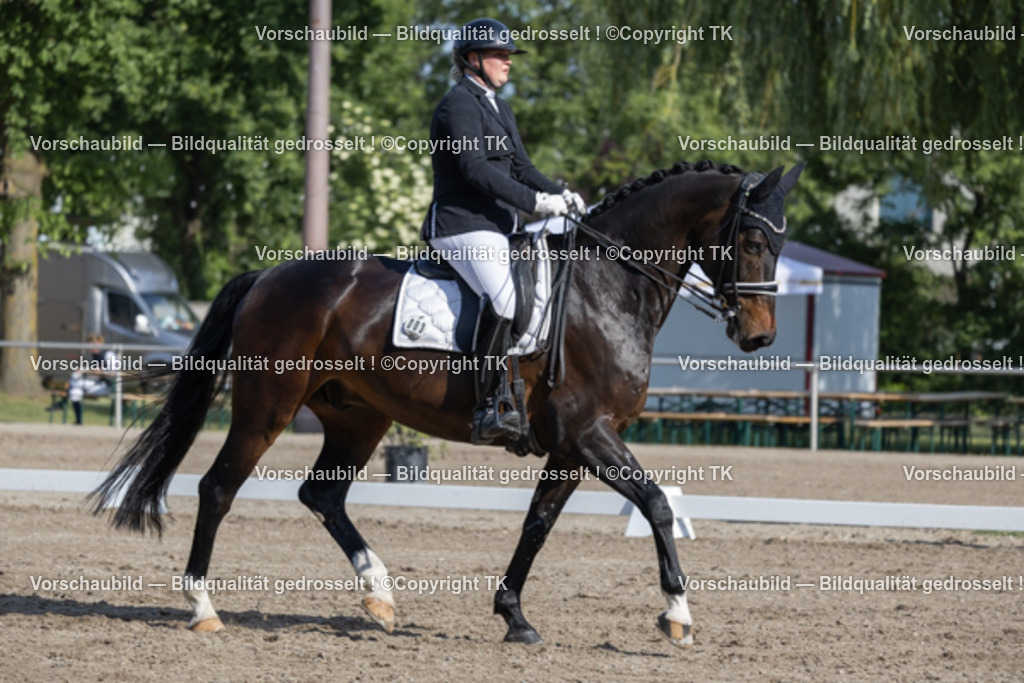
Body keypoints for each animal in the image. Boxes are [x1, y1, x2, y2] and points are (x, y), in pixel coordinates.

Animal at [92, 159, 804, 649]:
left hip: (357, 417)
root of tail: (269, 273)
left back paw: (379, 597)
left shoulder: (572, 448)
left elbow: (537, 526)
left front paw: (514, 617)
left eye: (781, 242)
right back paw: (204, 609)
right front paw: (677, 615)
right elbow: (656, 503)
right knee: (218, 487)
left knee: (322, 495)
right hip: (268, 405)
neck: (608, 289)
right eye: (751, 242)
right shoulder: (591, 433)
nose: (760, 336)